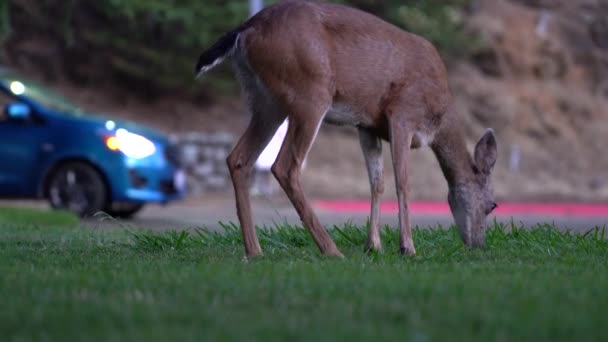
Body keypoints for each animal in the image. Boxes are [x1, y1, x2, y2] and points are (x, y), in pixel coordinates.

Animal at [195, 0, 498, 256]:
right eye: (492, 205)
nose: (478, 245)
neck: (440, 117)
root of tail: (246, 29)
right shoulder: (402, 113)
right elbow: (403, 182)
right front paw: (407, 248)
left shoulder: (367, 125)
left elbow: (377, 182)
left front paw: (373, 245)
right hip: (310, 93)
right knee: (285, 166)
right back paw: (331, 249)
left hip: (265, 102)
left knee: (238, 158)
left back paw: (255, 251)